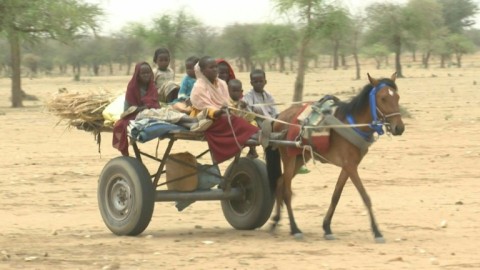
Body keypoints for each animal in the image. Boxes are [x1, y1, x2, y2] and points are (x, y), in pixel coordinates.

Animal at [268, 72, 404, 243]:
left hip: (299, 158)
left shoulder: (348, 166)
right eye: (383, 98)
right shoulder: (350, 166)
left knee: (280, 182)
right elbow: (365, 196)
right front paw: (377, 231)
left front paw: (327, 227)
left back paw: (275, 221)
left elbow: (336, 196)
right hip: (288, 157)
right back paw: (295, 228)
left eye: (397, 97)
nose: (399, 128)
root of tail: (280, 115)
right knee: (287, 191)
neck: (352, 124)